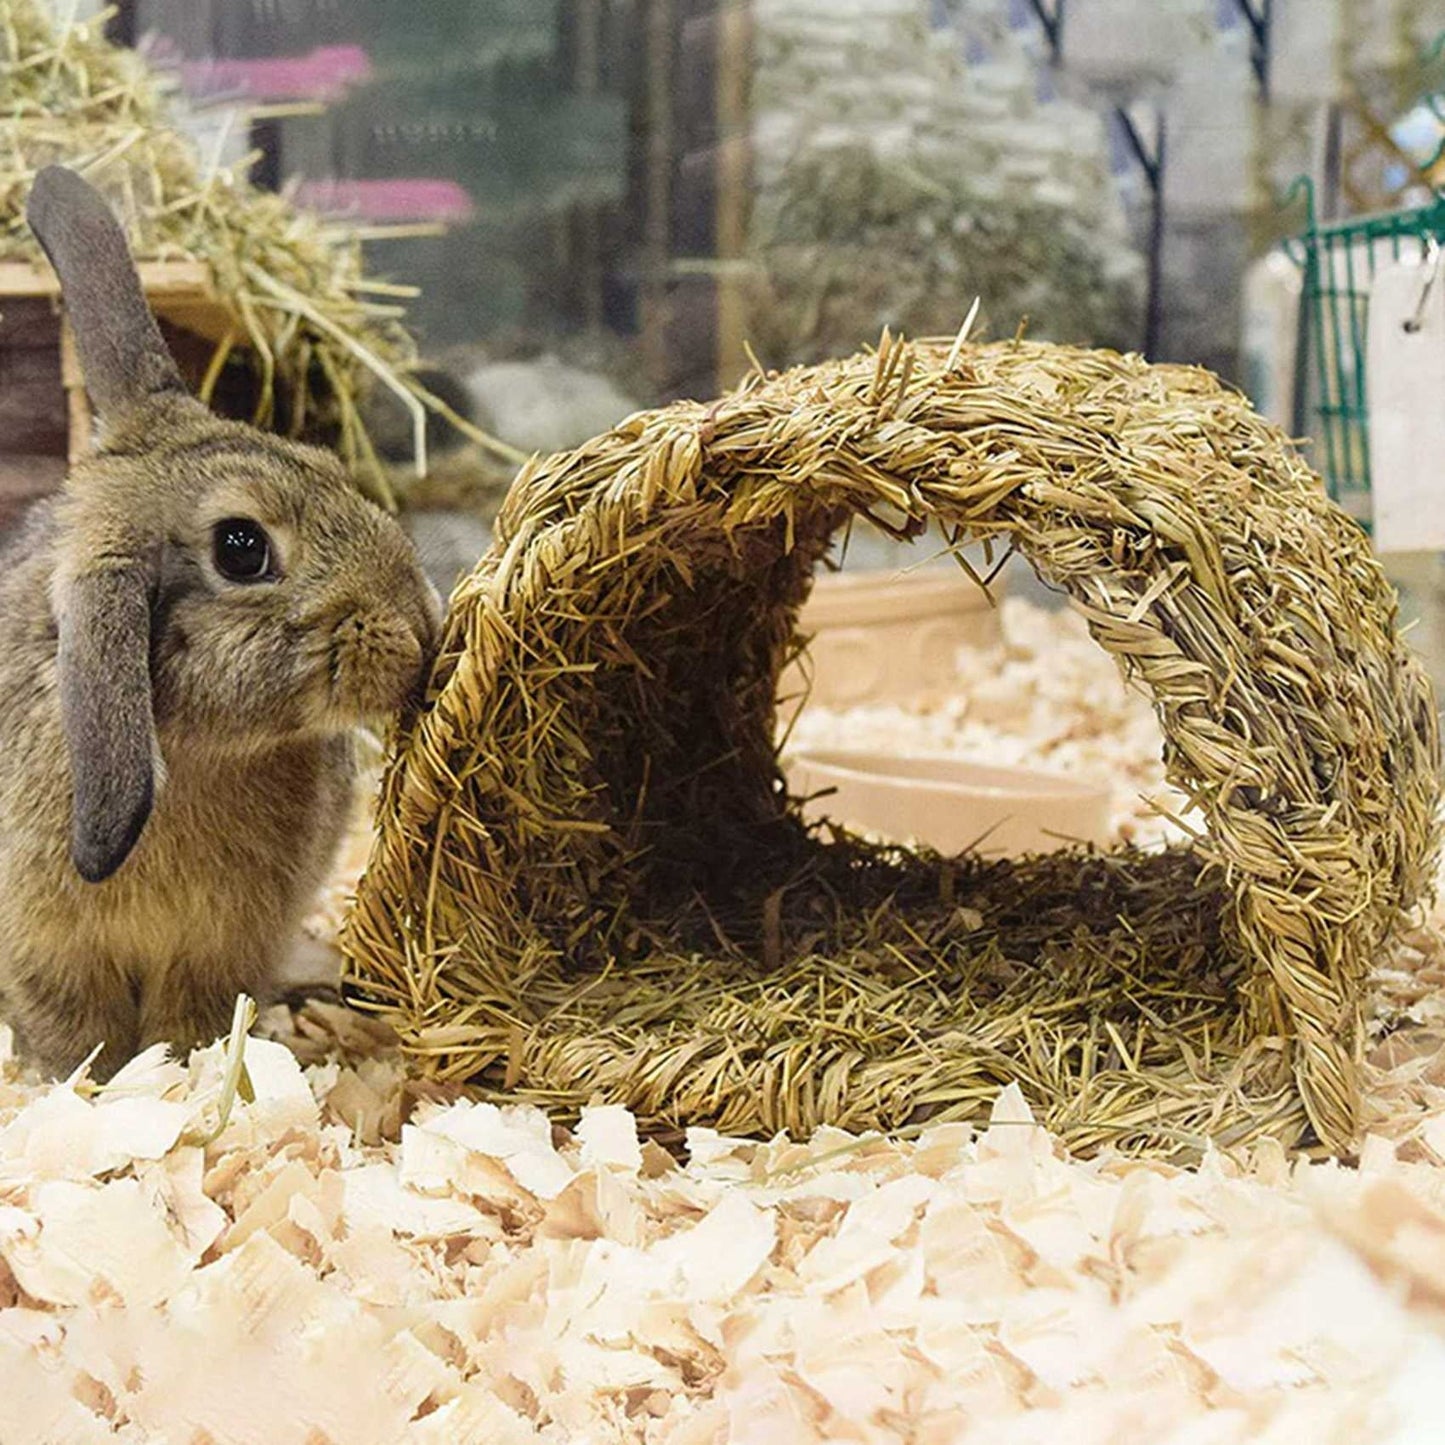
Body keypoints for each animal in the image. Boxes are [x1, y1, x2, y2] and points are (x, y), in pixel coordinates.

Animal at [0, 165, 441, 1079]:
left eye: (323, 460)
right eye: (241, 548)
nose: (420, 624)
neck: (194, 745)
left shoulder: (216, 948)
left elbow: (188, 1017)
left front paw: (180, 1065)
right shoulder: (46, 952)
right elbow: (74, 1028)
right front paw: (93, 1080)